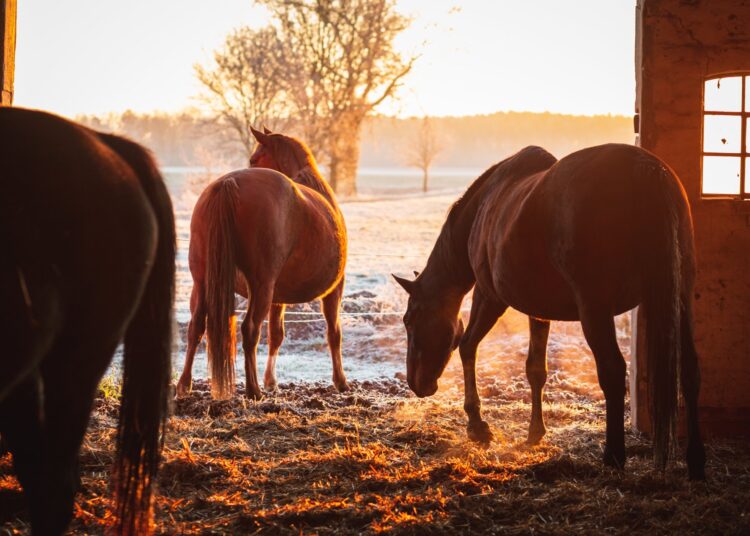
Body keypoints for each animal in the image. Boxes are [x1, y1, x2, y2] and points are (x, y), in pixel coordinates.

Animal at [176, 127, 348, 400]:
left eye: (254, 159)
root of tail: (229, 183)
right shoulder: (334, 289)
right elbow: (334, 333)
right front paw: (340, 382)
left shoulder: (278, 296)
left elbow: (276, 334)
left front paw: (271, 381)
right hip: (261, 287)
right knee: (250, 329)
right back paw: (253, 389)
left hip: (202, 282)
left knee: (196, 327)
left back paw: (184, 385)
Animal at [393, 143, 706, 480]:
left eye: (409, 320)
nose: (416, 383)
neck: (484, 207)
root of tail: (646, 171)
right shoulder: (538, 310)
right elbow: (535, 369)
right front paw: (534, 432)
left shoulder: (489, 297)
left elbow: (467, 346)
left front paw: (477, 427)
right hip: (679, 296)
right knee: (690, 370)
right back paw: (696, 460)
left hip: (595, 309)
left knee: (612, 371)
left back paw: (613, 456)